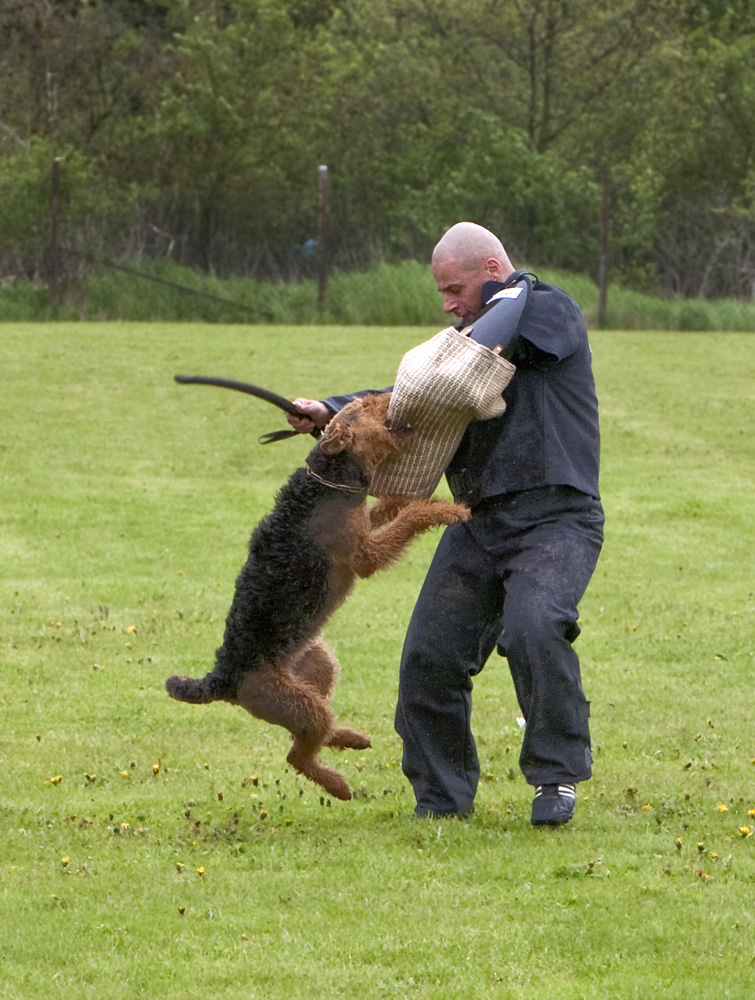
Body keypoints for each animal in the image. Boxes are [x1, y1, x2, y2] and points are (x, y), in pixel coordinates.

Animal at [168, 394, 470, 800]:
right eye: (368, 405)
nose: (390, 396)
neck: (329, 480)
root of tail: (221, 678)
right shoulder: (364, 554)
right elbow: (408, 520)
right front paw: (447, 509)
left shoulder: (363, 525)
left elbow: (386, 508)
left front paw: (409, 498)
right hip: (299, 703)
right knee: (298, 754)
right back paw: (339, 785)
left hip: (317, 667)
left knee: (310, 736)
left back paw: (351, 738)